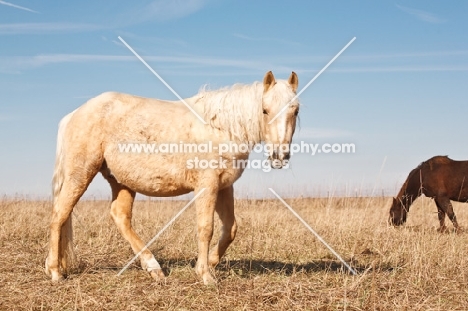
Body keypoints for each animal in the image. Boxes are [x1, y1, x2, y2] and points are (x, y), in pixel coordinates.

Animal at [44, 70, 300, 286]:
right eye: (264, 110)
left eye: (296, 110)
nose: (279, 156)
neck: (220, 127)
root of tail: (74, 115)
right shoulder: (207, 185)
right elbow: (206, 227)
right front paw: (205, 275)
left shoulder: (224, 186)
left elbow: (230, 229)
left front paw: (210, 264)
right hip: (81, 173)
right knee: (60, 214)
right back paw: (55, 271)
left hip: (121, 181)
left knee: (120, 217)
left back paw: (153, 268)